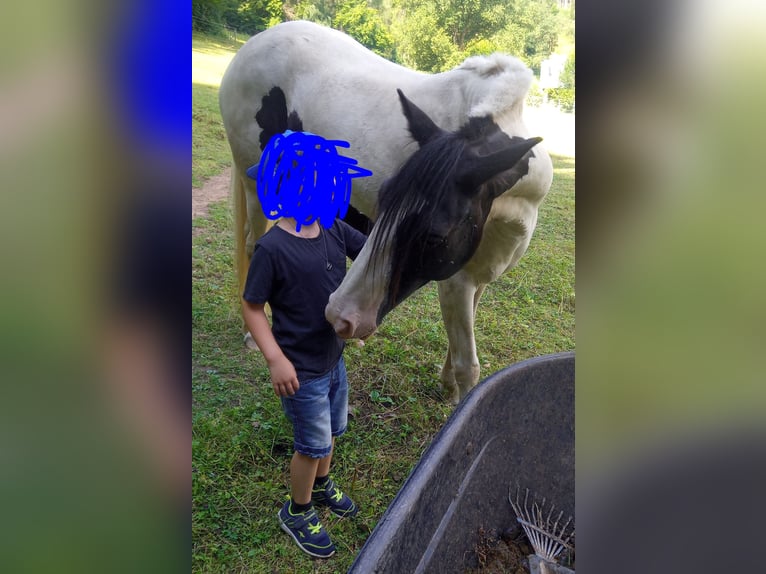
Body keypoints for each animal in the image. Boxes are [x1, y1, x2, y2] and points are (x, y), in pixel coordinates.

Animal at [219, 20, 553, 403]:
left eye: (433, 236)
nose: (338, 317)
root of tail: (255, 44)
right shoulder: (455, 281)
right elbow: (468, 367)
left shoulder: (477, 275)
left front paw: (446, 384)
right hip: (257, 186)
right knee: (252, 243)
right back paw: (253, 333)